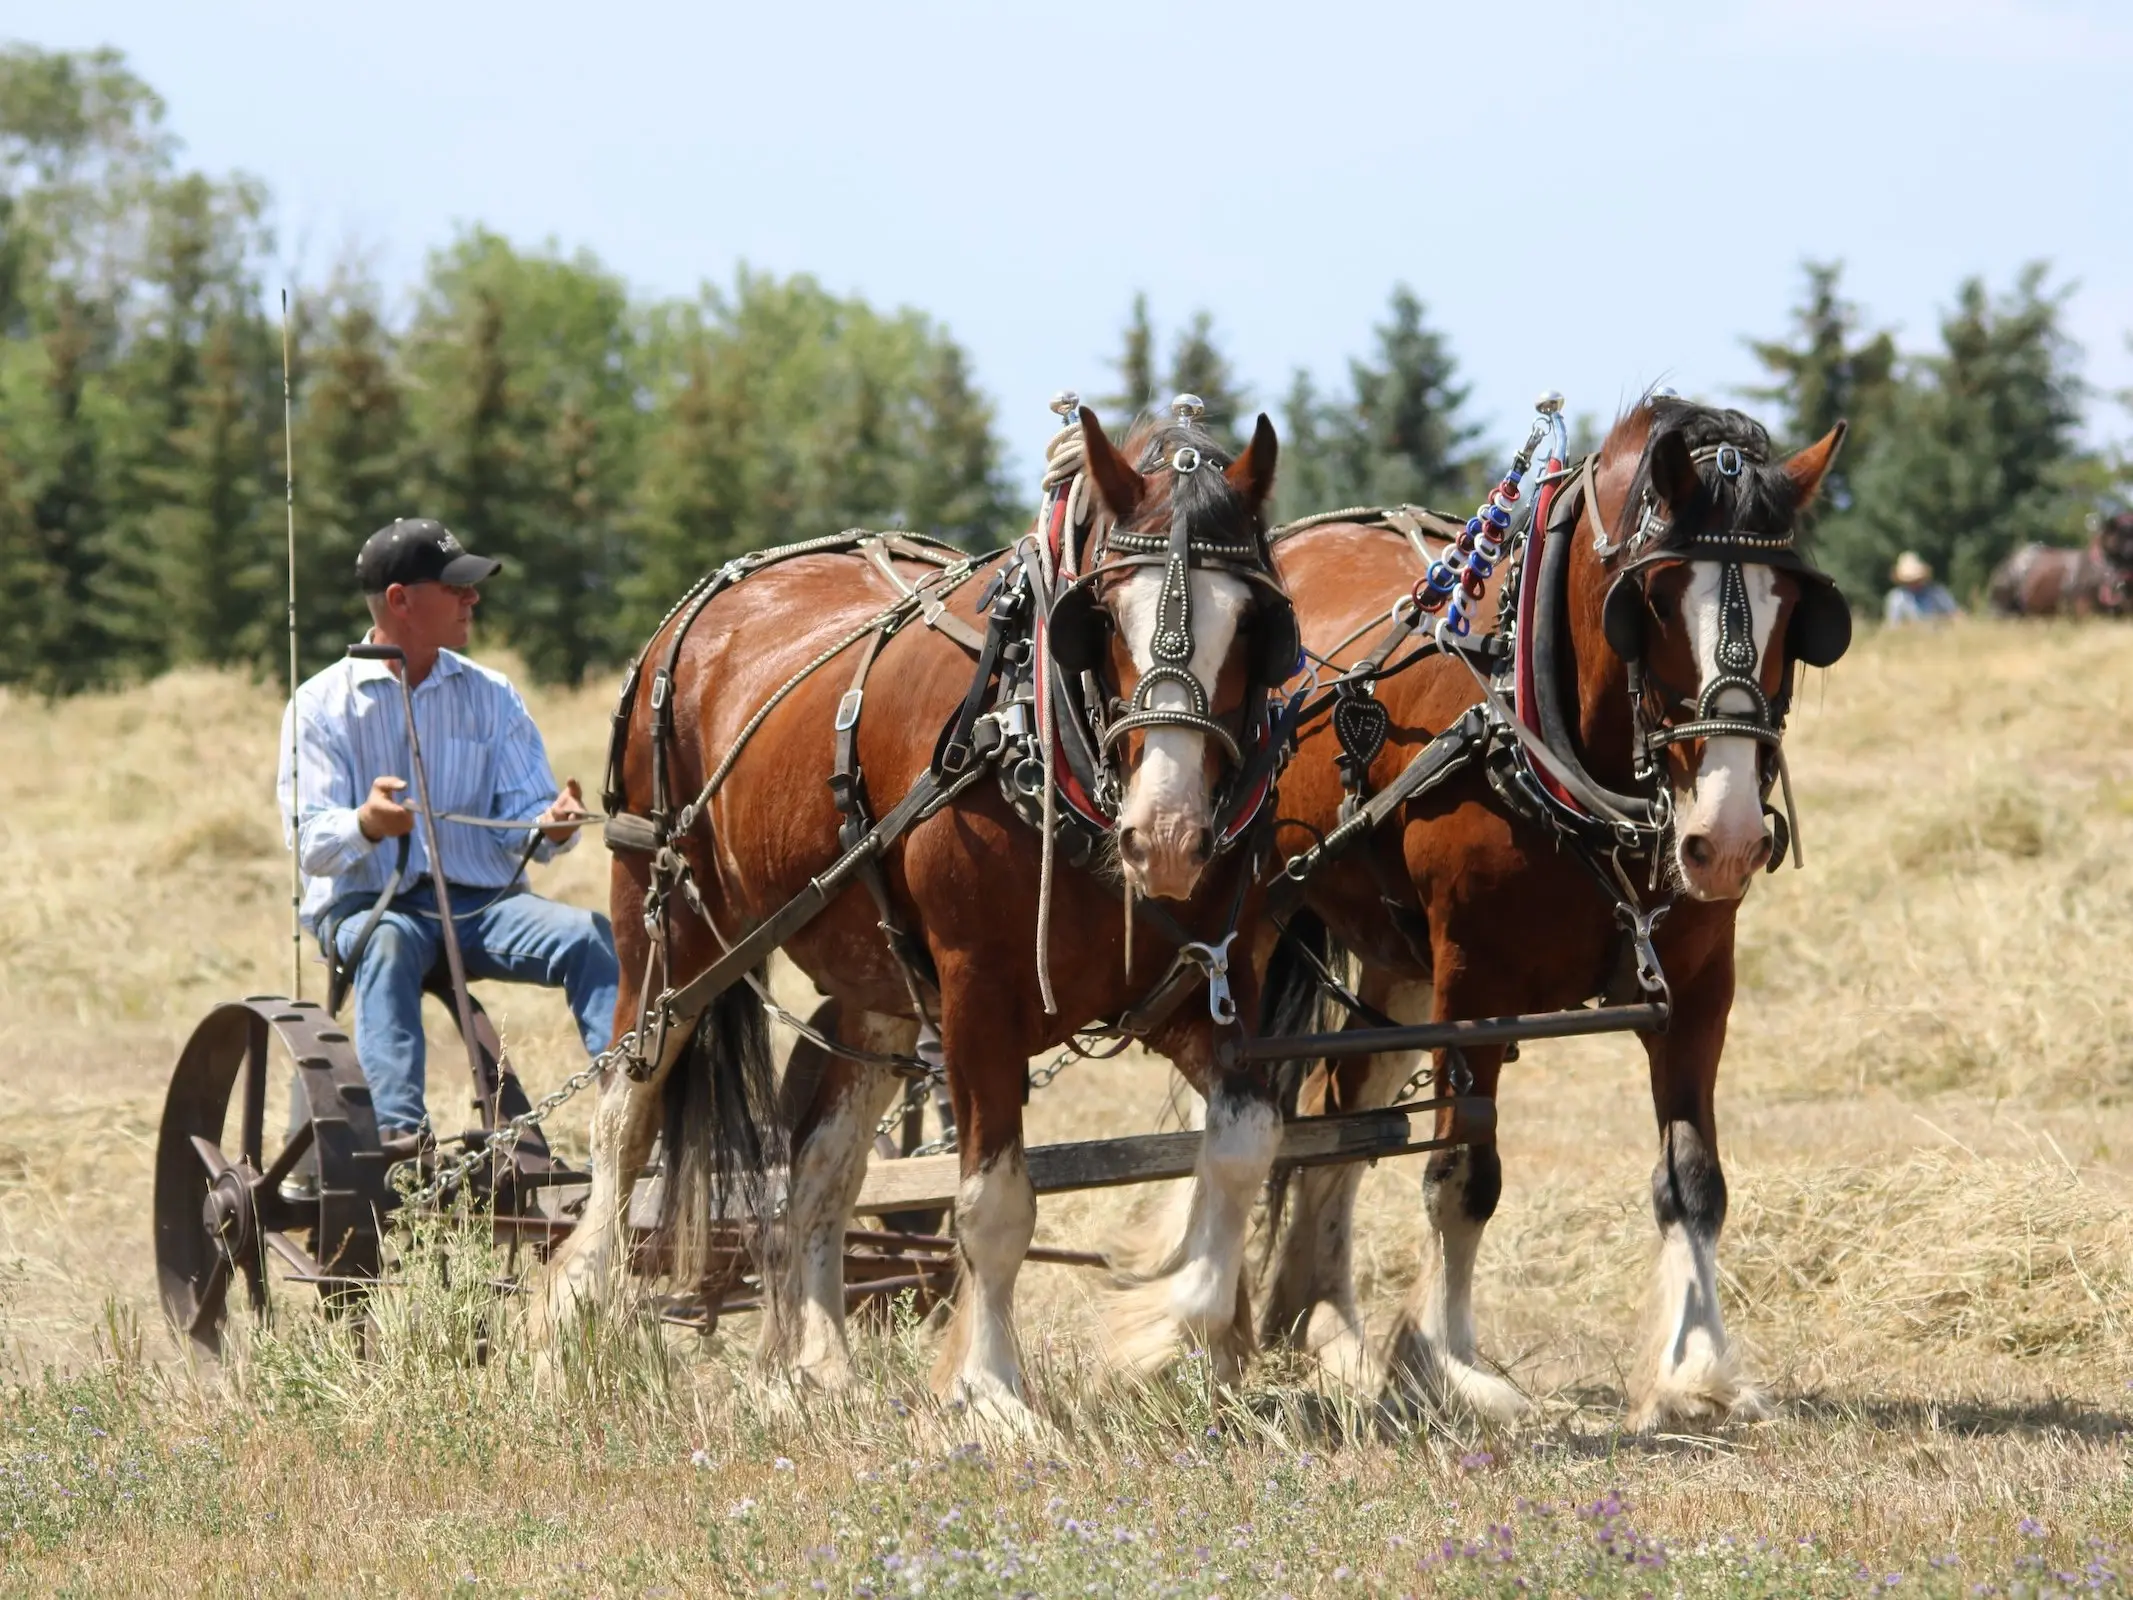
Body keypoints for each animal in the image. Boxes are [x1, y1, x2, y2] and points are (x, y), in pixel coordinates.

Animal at [537, 403, 1296, 1425]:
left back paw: (815, 1360)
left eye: (1255, 623)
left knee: (824, 1160)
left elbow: (1244, 1146)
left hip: (879, 987)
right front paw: (992, 1391)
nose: (1168, 834)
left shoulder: (1201, 988)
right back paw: (575, 1313)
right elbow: (995, 1204)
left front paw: (1179, 1341)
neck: (1043, 736)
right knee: (628, 1108)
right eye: (1099, 618)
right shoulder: (979, 1001)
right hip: (664, 927)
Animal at [1245, 398, 1851, 1425]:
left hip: (1395, 965)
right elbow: (1462, 1174)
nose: (1725, 838)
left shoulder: (1698, 988)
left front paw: (1697, 1368)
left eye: (1795, 612)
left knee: (1337, 1109)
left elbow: (1693, 1179)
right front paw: (1448, 1363)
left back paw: (1320, 1324)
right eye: (1653, 603)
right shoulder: (1472, 988)